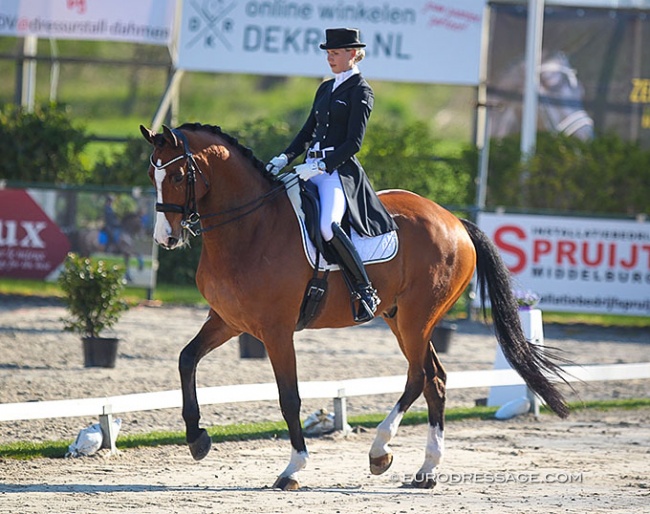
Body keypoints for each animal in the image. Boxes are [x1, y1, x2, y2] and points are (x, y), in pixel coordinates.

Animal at [138, 123, 568, 488]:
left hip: (417, 319)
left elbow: (289, 397)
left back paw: (380, 452)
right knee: (435, 379)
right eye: (151, 176)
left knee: (418, 377)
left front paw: (293, 469)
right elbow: (186, 359)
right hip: (399, 318)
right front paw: (197, 438)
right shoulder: (227, 320)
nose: (165, 239)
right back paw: (426, 470)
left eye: (178, 176)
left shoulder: (276, 331)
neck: (250, 227)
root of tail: (455, 222)